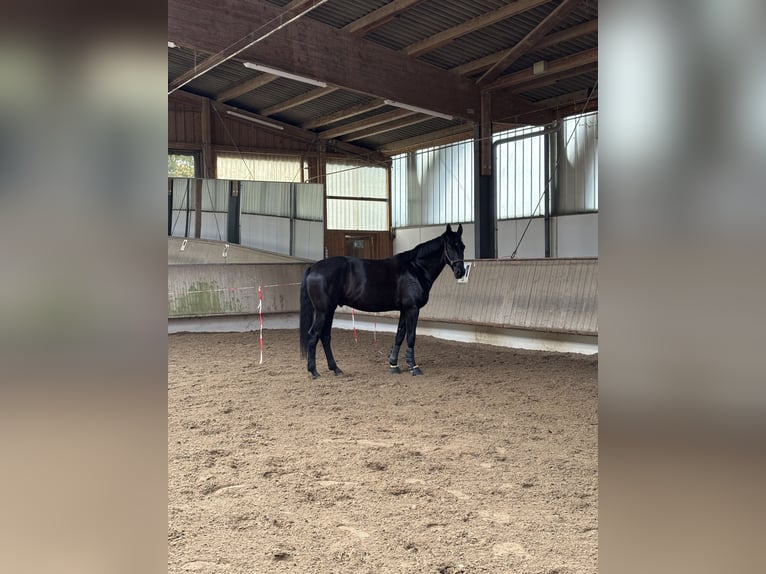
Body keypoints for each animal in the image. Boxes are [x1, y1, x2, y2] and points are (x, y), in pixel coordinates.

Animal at [299, 223, 466, 379]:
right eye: (450, 246)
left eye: (463, 246)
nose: (461, 272)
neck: (415, 268)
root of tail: (313, 267)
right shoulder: (412, 308)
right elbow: (411, 336)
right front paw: (414, 367)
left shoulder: (405, 309)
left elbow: (399, 335)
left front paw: (394, 365)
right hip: (323, 311)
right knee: (314, 335)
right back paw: (314, 371)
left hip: (330, 310)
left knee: (325, 336)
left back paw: (335, 369)